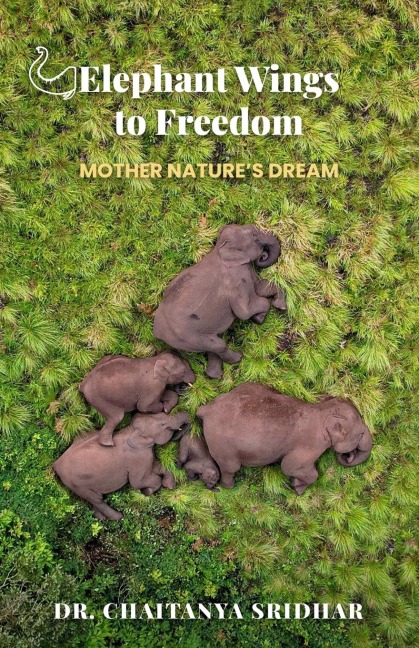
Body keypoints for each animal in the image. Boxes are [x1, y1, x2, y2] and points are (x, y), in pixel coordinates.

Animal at [53, 411, 191, 520]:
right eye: (163, 424)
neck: (132, 430)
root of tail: (56, 464)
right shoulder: (136, 459)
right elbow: (137, 482)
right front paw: (147, 491)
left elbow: (157, 466)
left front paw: (169, 486)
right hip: (76, 484)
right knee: (97, 499)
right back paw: (117, 517)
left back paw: (100, 518)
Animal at [153, 224, 286, 378]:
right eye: (254, 235)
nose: (263, 256)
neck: (219, 249)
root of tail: (157, 333)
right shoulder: (235, 281)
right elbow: (244, 312)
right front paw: (259, 319)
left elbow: (261, 287)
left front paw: (279, 307)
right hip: (188, 337)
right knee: (218, 345)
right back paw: (238, 358)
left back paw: (214, 375)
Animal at [197, 383, 373, 493]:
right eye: (361, 433)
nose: (348, 456)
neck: (322, 411)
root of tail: (206, 409)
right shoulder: (311, 445)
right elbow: (288, 466)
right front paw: (297, 487)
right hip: (221, 445)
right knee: (230, 467)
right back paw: (229, 486)